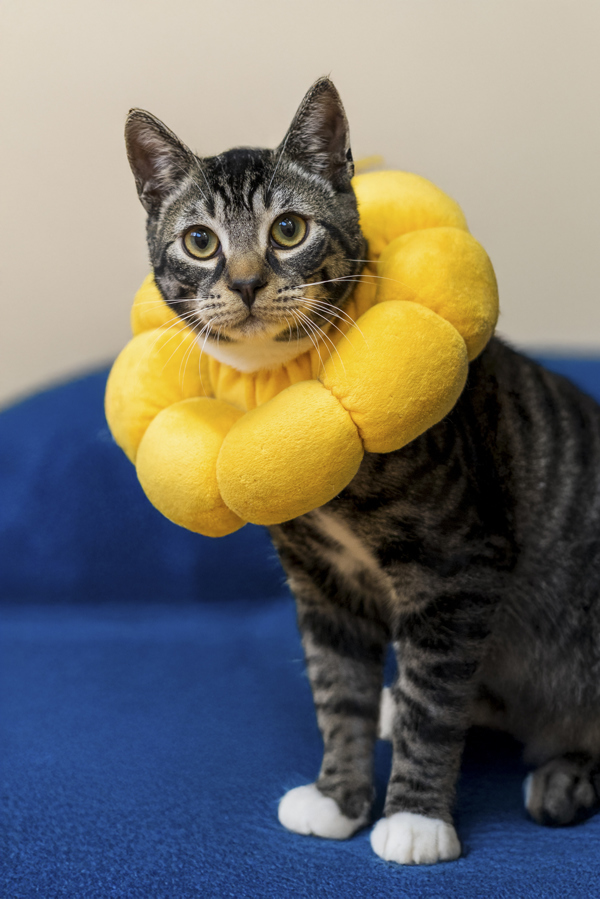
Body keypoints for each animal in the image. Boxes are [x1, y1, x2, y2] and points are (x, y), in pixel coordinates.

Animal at [124, 81, 600, 868]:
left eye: (288, 229)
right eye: (200, 241)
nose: (247, 282)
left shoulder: (459, 568)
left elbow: (434, 707)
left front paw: (414, 817)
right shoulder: (322, 582)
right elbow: (336, 690)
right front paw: (339, 796)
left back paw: (559, 780)